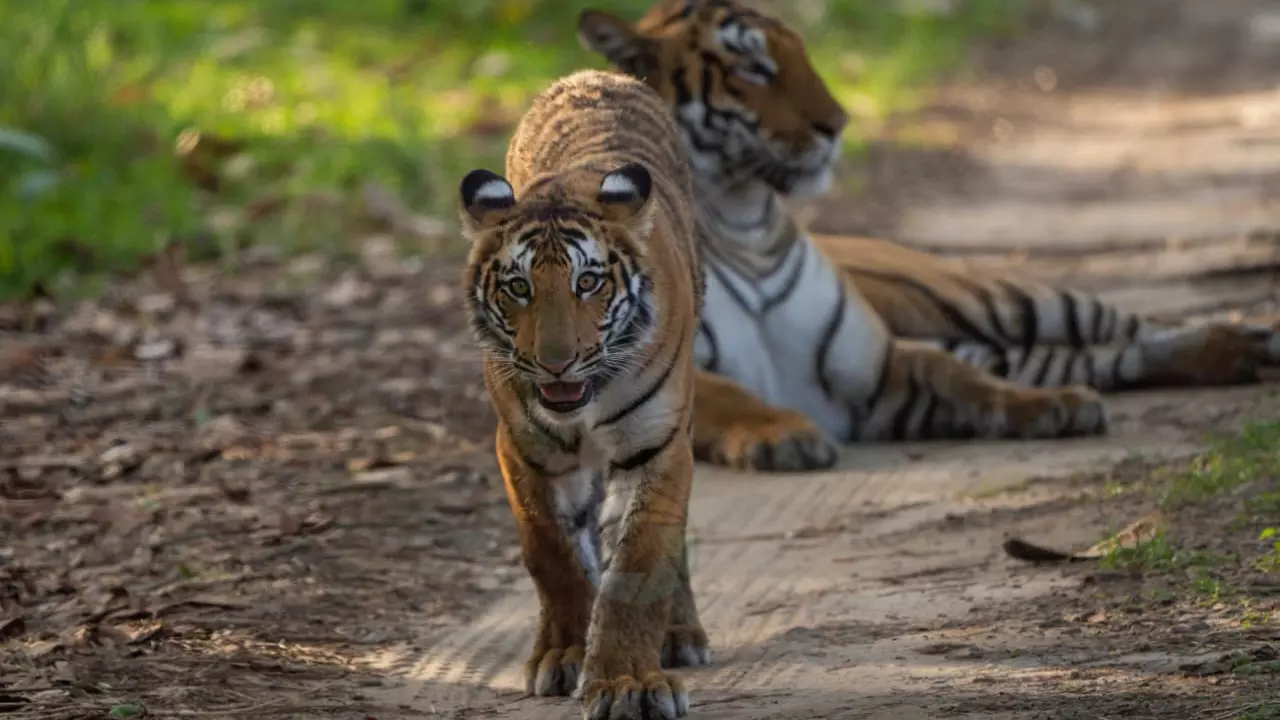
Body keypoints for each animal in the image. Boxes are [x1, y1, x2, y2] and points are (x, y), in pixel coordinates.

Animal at [460, 69, 717, 720]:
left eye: (589, 282)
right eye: (519, 288)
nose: (556, 363)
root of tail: (595, 75)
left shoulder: (657, 447)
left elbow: (638, 565)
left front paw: (628, 682)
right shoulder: (525, 449)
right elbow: (553, 554)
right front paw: (565, 655)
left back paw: (680, 634)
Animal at [576, 0, 1280, 450]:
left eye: (800, 53)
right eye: (753, 68)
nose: (838, 124)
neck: (744, 220)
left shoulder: (878, 364)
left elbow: (961, 379)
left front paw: (1047, 408)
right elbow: (731, 396)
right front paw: (787, 435)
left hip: (1003, 300)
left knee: (1124, 326)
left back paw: (1247, 342)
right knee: (1091, 355)